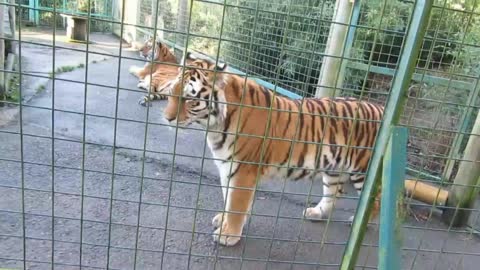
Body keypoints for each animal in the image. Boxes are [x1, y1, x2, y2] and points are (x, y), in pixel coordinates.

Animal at [163, 52, 384, 247]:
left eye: (190, 100)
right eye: (172, 93)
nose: (167, 118)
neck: (215, 127)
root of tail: (381, 107)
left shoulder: (243, 170)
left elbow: (236, 204)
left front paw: (228, 235)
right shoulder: (227, 167)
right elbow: (229, 198)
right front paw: (223, 221)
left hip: (362, 169)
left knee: (376, 200)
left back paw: (358, 222)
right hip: (334, 167)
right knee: (334, 192)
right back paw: (316, 213)